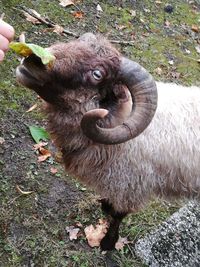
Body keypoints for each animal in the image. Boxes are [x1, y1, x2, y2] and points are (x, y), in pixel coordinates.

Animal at [15, 33, 200, 251]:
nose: (32, 59)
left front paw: (108, 242)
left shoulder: (131, 184)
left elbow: (118, 215)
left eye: (97, 74)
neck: (119, 115)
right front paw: (104, 205)